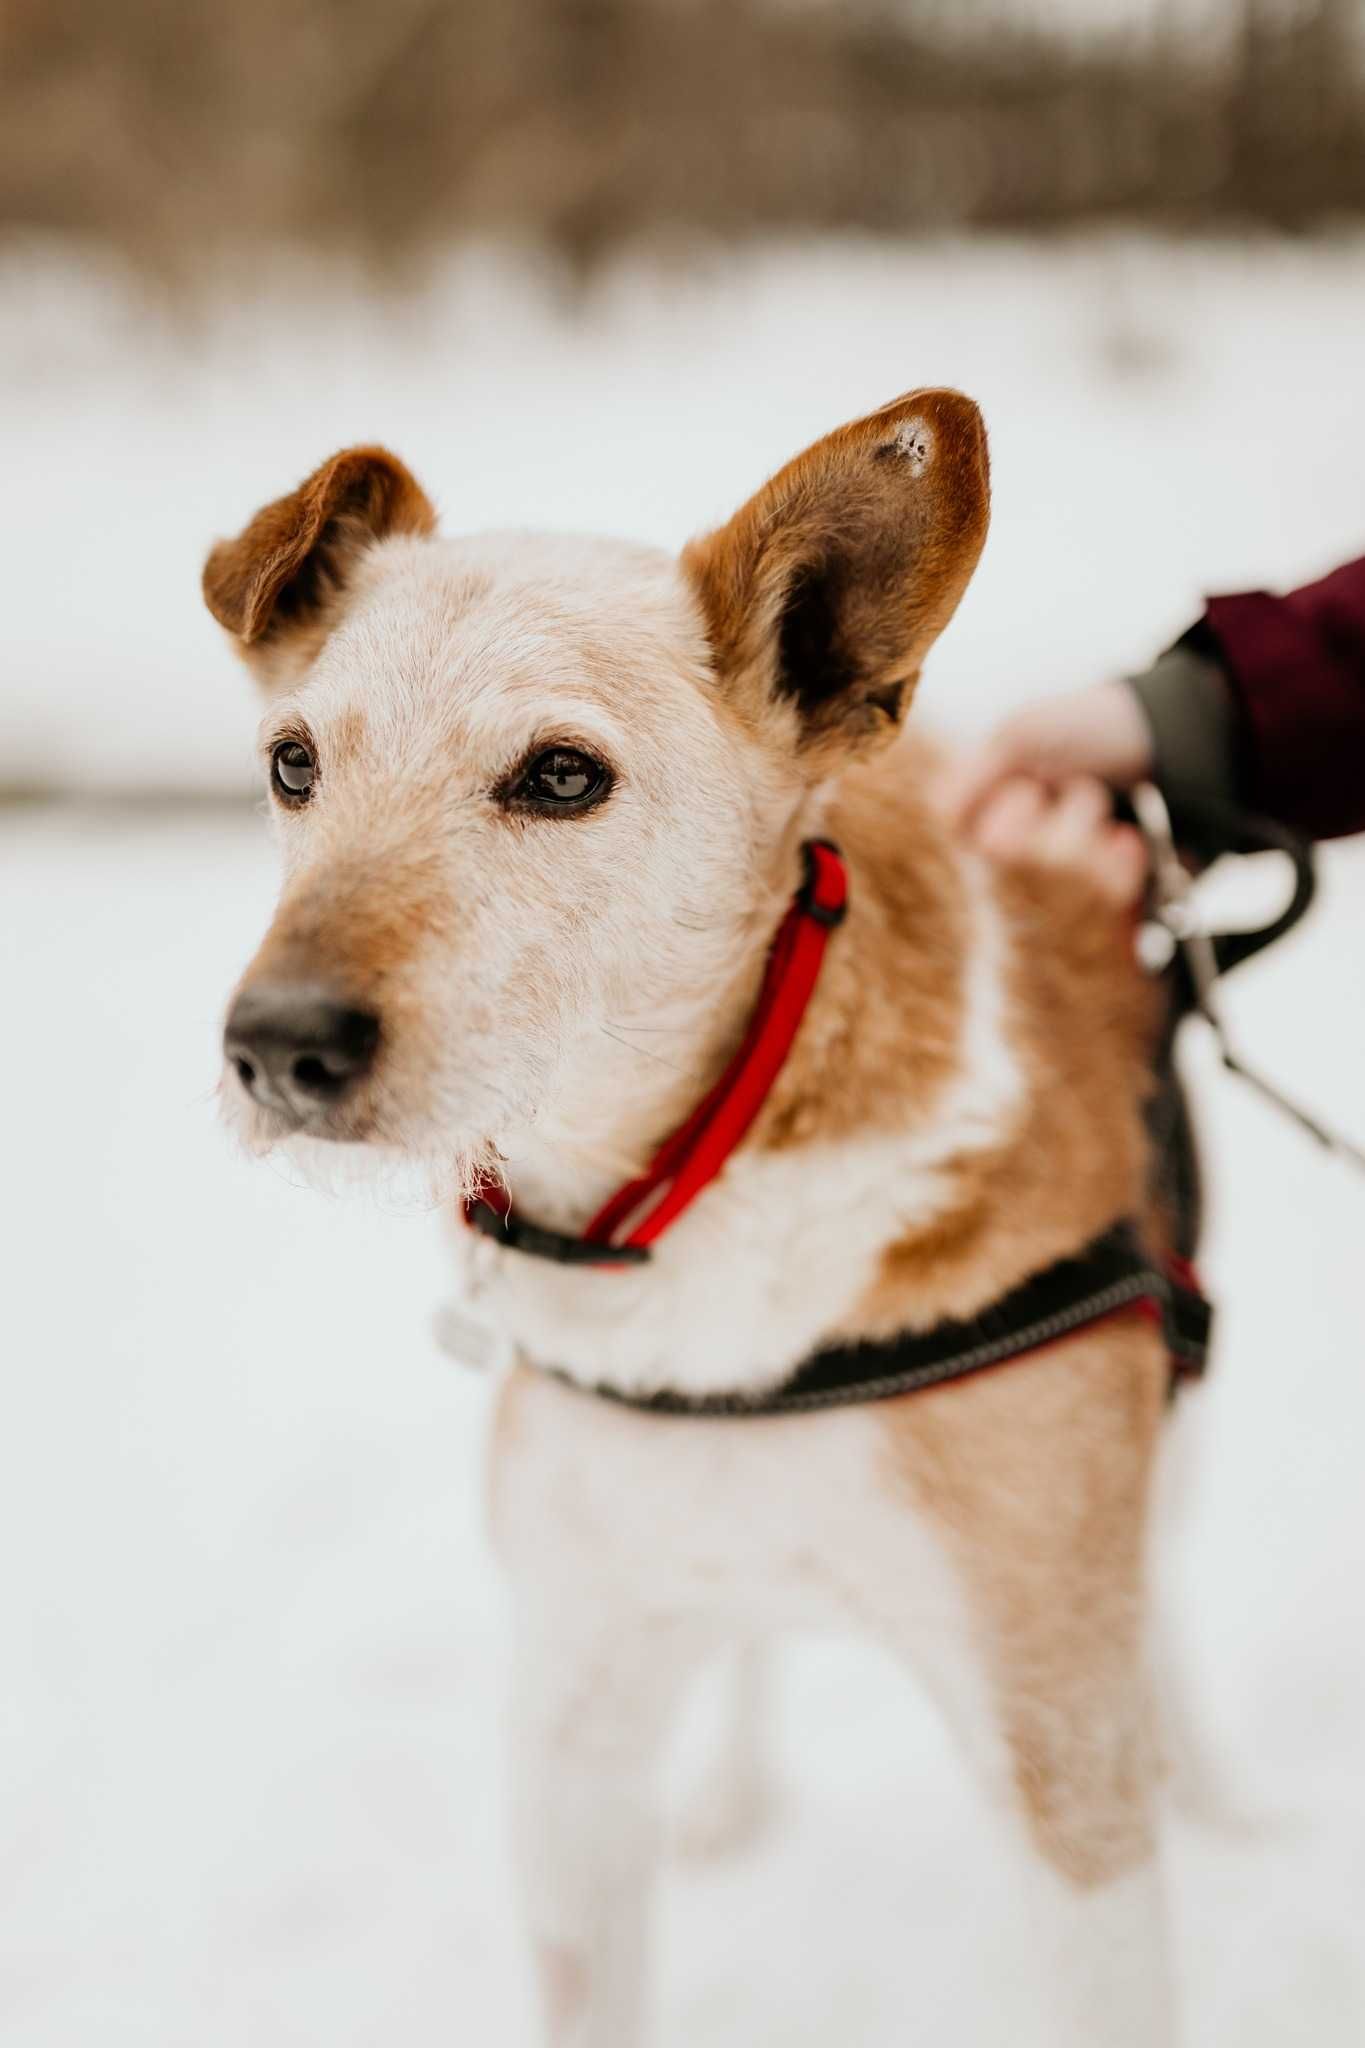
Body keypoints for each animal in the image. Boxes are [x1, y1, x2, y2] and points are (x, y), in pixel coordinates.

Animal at [202, 387, 1186, 2048]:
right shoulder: (575, 1723)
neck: (687, 1209)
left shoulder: (1063, 1771)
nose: (278, 1046)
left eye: (559, 775)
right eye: (292, 762)